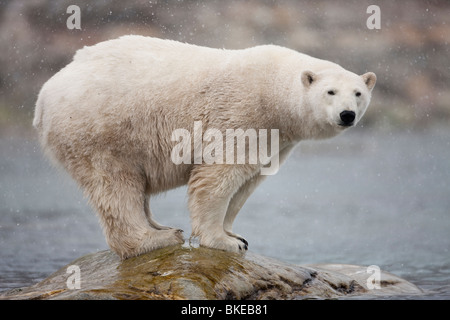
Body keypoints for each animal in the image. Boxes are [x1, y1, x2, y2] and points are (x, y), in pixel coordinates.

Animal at [32, 35, 376, 260]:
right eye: (331, 91)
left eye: (358, 93)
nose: (347, 114)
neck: (274, 93)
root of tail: (45, 95)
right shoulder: (242, 112)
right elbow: (218, 177)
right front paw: (223, 241)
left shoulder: (276, 138)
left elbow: (247, 182)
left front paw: (235, 234)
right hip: (99, 130)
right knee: (115, 186)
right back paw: (158, 237)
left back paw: (160, 225)